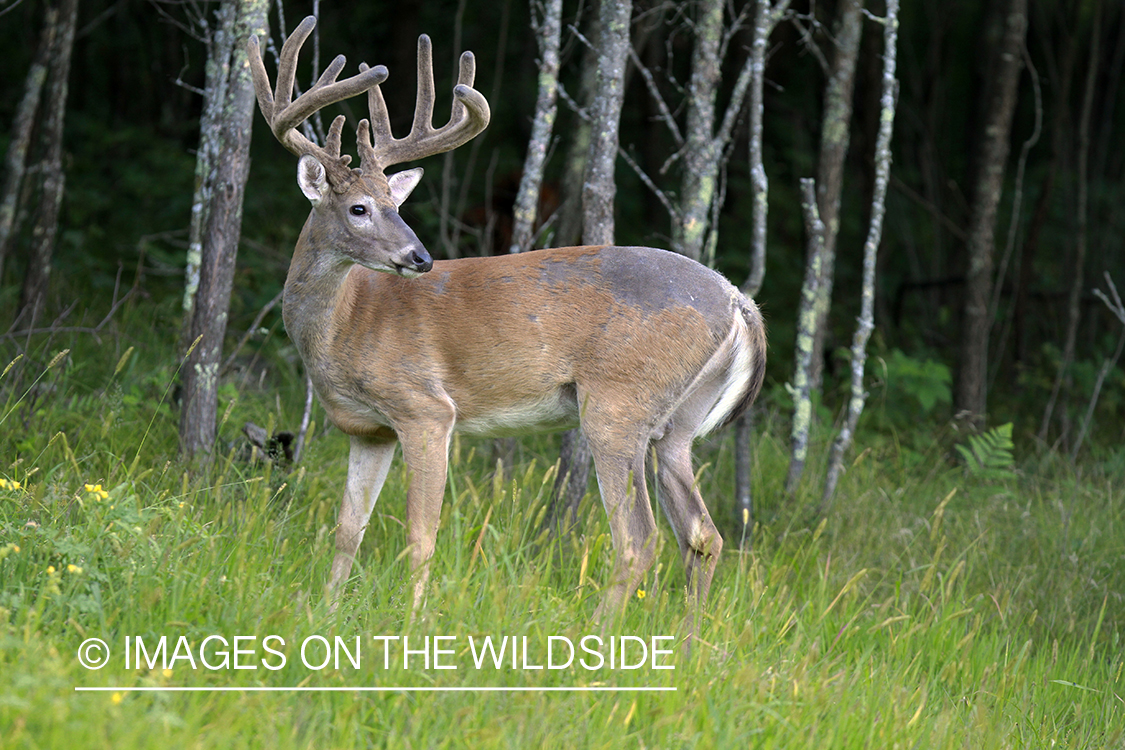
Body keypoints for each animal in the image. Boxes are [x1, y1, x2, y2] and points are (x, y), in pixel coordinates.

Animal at [246, 17, 765, 629]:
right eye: (359, 208)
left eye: (394, 205)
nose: (420, 257)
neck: (343, 328)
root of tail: (737, 300)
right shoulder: (367, 429)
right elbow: (348, 528)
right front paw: (325, 616)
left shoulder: (425, 408)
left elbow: (421, 535)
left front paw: (411, 623)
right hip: (678, 425)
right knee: (702, 536)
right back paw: (688, 644)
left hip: (619, 404)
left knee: (639, 539)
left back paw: (596, 636)